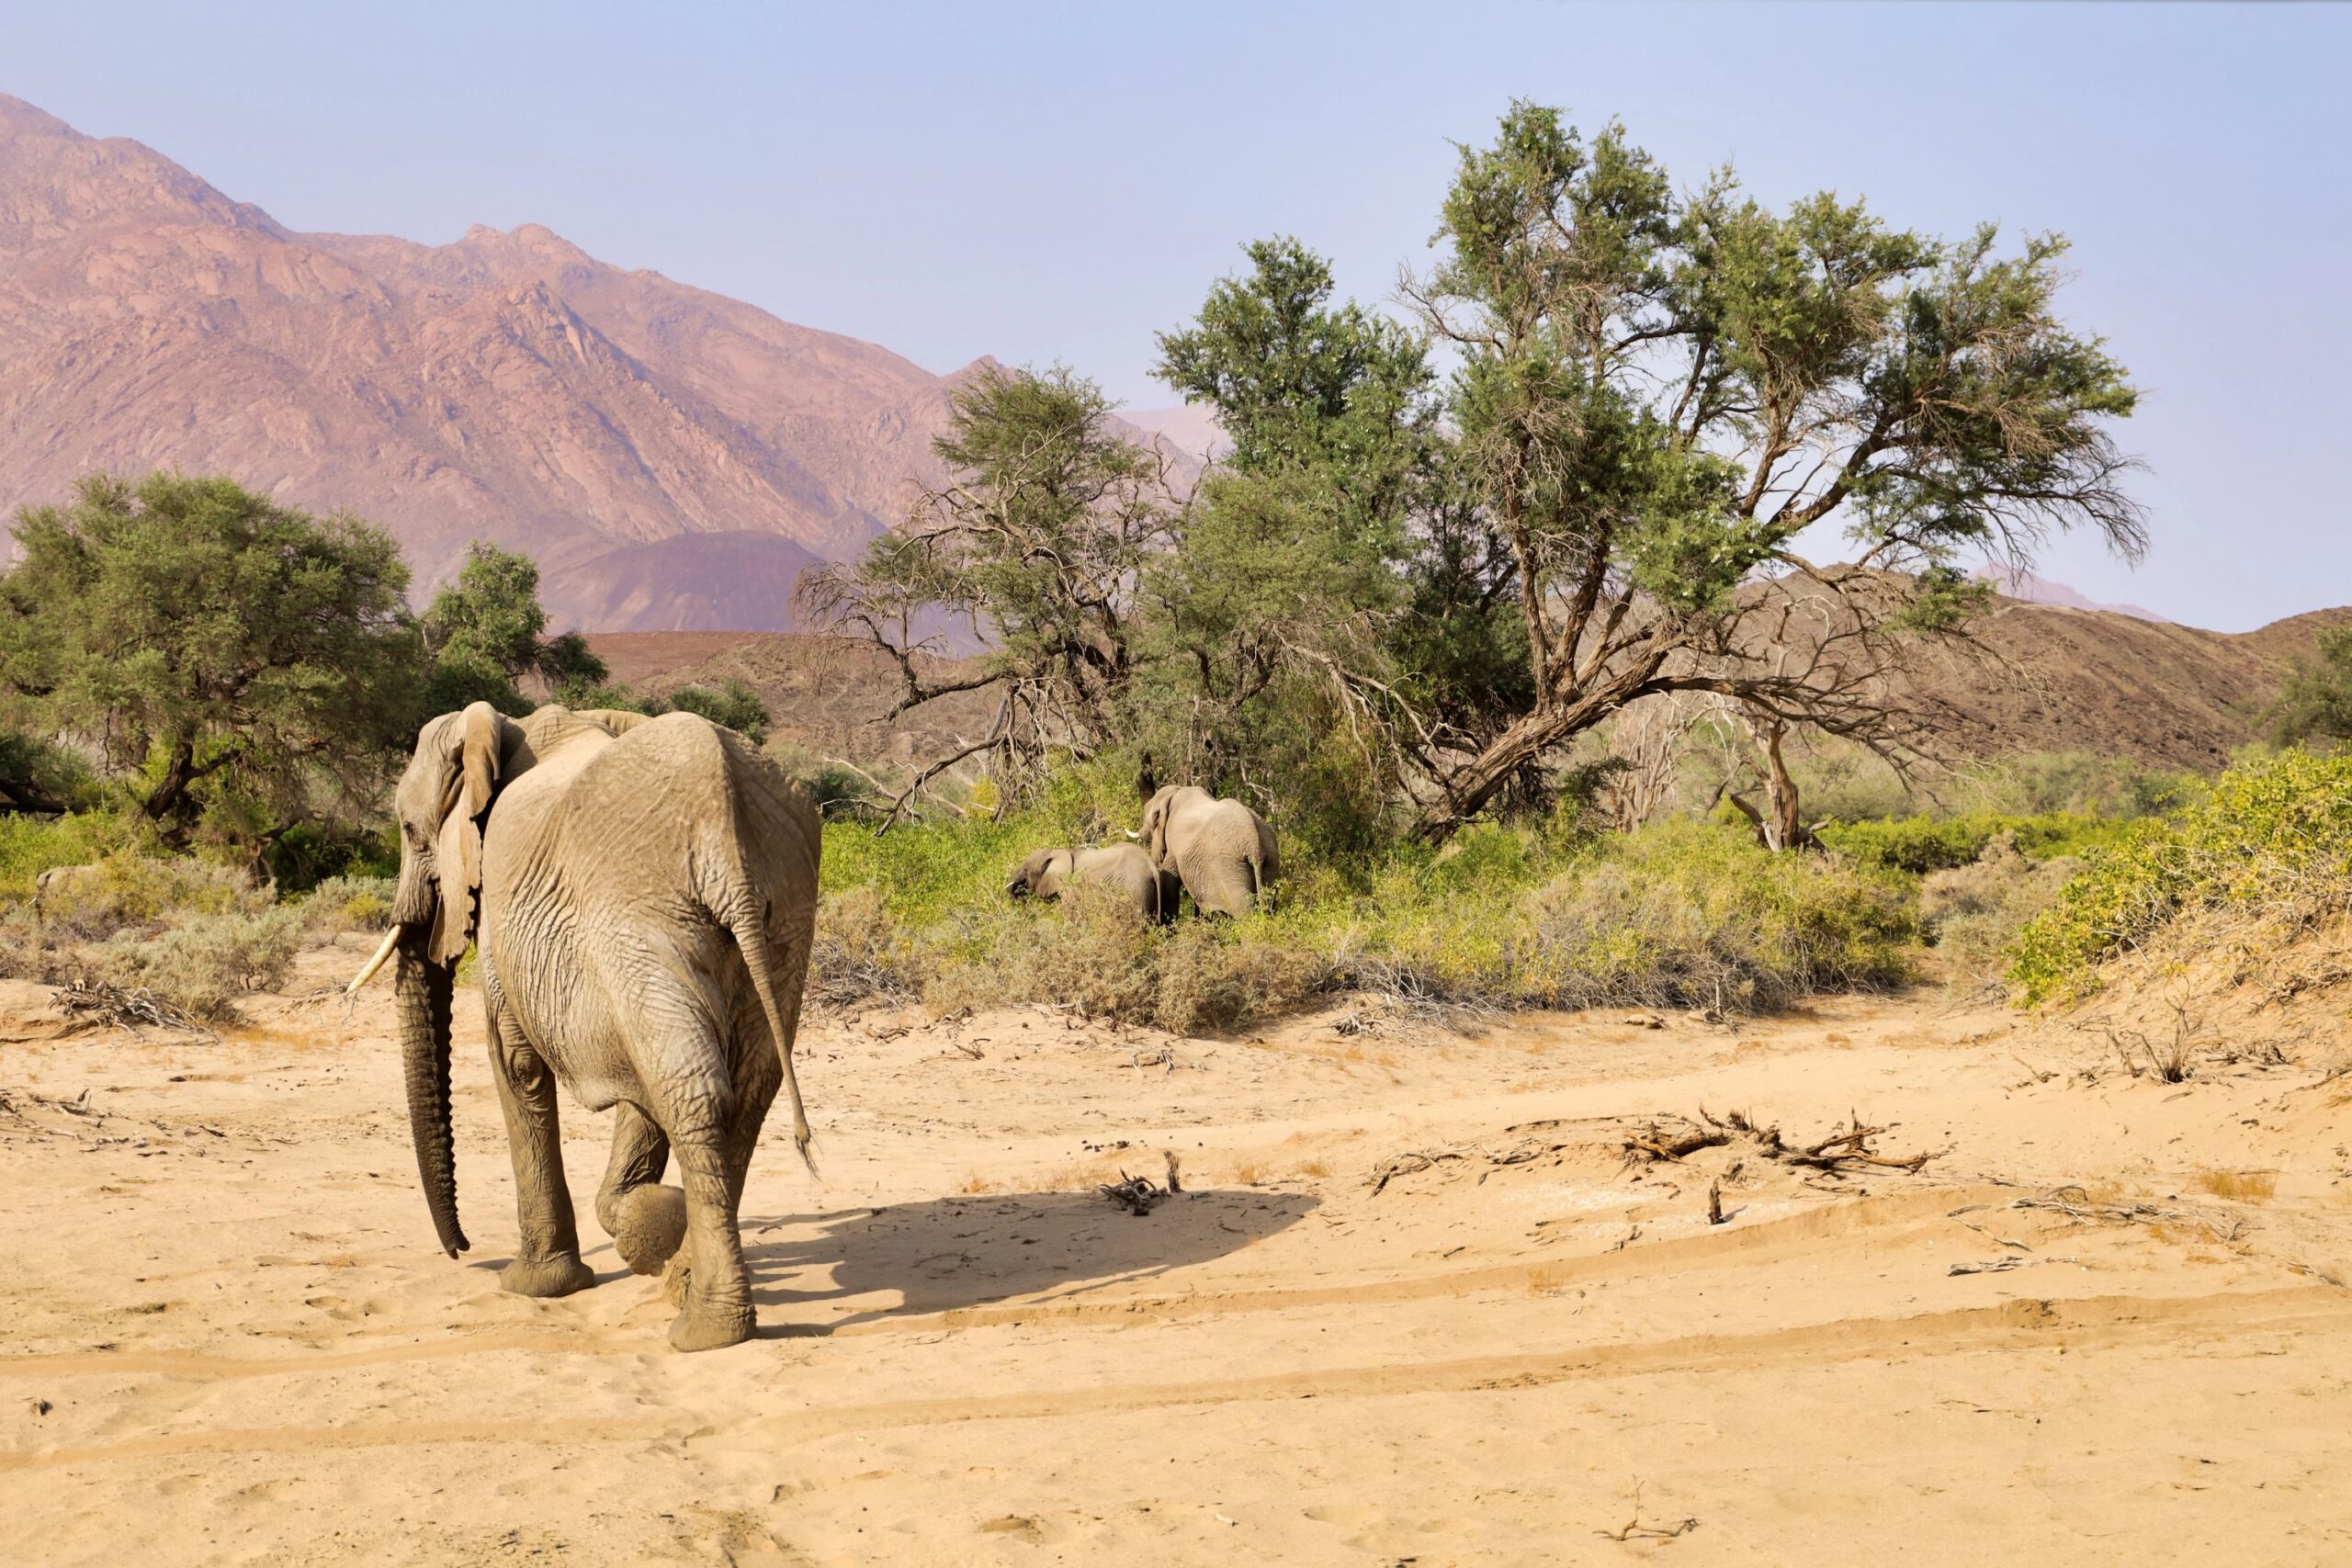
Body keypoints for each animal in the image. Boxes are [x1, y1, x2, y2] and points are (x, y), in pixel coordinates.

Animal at [345, 701, 820, 1352]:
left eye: (413, 831)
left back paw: (706, 1328)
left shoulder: (502, 908)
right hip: (781, 918)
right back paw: (683, 1282)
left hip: (639, 905)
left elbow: (515, 1063)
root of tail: (725, 823)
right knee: (741, 1090)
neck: (506, 726)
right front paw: (647, 1225)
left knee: (695, 1093)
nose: (462, 1250)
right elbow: (636, 1084)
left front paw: (537, 1285)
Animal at [1139, 785, 1278, 917]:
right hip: (1270, 862)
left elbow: (1169, 884)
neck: (1174, 792)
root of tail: (1254, 843)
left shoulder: (1172, 842)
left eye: (1151, 821)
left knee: (1243, 906)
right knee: (1270, 900)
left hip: (1228, 866)